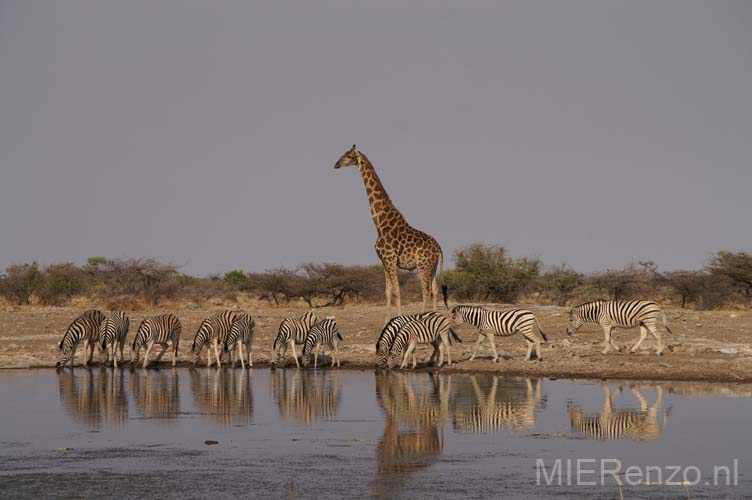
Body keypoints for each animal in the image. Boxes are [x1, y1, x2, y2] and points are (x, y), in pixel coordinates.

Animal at [332, 145, 444, 320]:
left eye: (349, 156)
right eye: (344, 153)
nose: (336, 164)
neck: (379, 222)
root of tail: (439, 248)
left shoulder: (390, 258)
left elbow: (397, 291)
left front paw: (398, 319)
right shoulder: (383, 261)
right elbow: (388, 292)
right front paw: (386, 321)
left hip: (422, 265)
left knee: (425, 290)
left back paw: (423, 317)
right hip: (432, 266)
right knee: (434, 289)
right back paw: (432, 316)